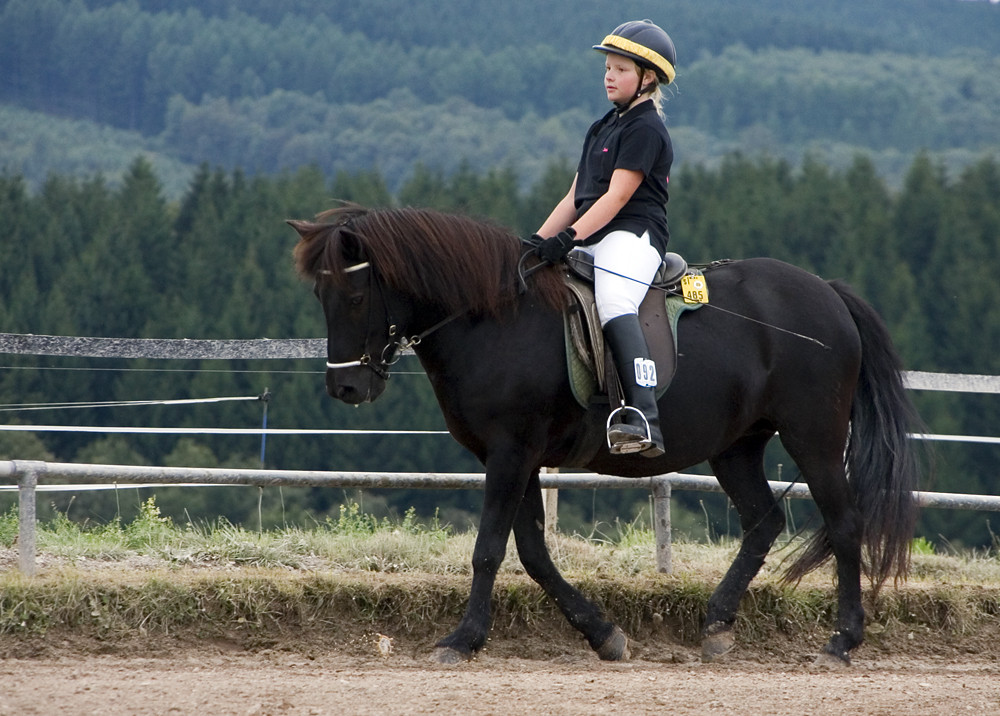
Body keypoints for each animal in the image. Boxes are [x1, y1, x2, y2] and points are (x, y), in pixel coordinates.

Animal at [290, 204, 920, 668]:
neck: (493, 317)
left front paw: (462, 639)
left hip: (813, 436)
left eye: (354, 296)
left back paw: (842, 641)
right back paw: (717, 624)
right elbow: (534, 552)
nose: (346, 388)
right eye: (318, 296)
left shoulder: (511, 453)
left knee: (844, 523)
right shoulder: (519, 457)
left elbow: (490, 549)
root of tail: (828, 292)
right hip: (736, 446)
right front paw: (603, 635)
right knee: (763, 522)